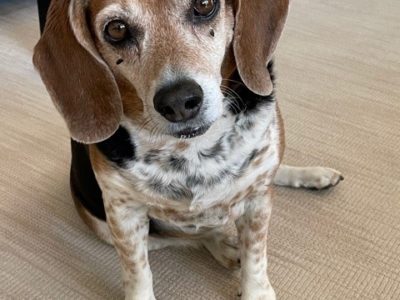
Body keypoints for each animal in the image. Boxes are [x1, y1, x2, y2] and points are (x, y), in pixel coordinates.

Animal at [32, 1, 342, 298]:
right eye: (116, 29)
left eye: (204, 5)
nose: (179, 102)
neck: (192, 148)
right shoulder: (123, 213)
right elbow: (138, 273)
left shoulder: (258, 200)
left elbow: (255, 259)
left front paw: (255, 289)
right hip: (104, 225)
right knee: (191, 236)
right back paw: (224, 247)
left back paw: (315, 176)